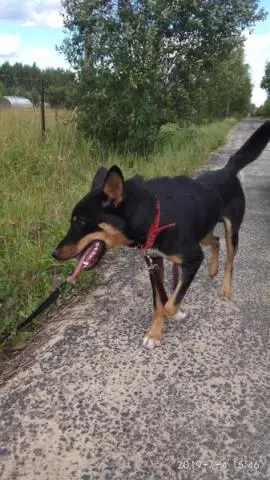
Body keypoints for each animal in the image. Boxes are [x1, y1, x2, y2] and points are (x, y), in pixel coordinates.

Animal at [52, 119, 270, 344]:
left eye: (81, 222)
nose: (54, 254)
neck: (154, 217)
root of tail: (226, 170)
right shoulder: (154, 262)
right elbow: (158, 303)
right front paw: (155, 333)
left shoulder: (193, 259)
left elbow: (169, 304)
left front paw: (177, 313)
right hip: (202, 232)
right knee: (216, 240)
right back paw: (212, 269)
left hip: (231, 231)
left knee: (229, 260)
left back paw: (225, 288)